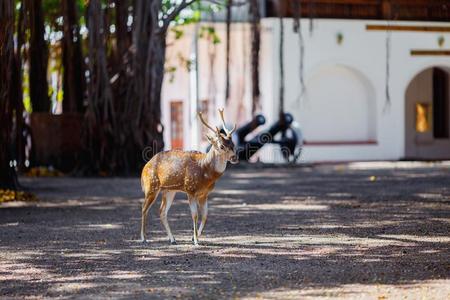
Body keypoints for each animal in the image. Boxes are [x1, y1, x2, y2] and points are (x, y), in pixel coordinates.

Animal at [141, 109, 239, 245]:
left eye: (233, 144)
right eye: (221, 146)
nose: (235, 157)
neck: (205, 172)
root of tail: (144, 168)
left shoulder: (204, 194)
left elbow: (205, 215)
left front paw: (195, 237)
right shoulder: (190, 189)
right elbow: (195, 215)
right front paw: (196, 241)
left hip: (169, 190)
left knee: (162, 211)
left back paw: (173, 239)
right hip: (151, 186)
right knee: (144, 209)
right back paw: (144, 238)